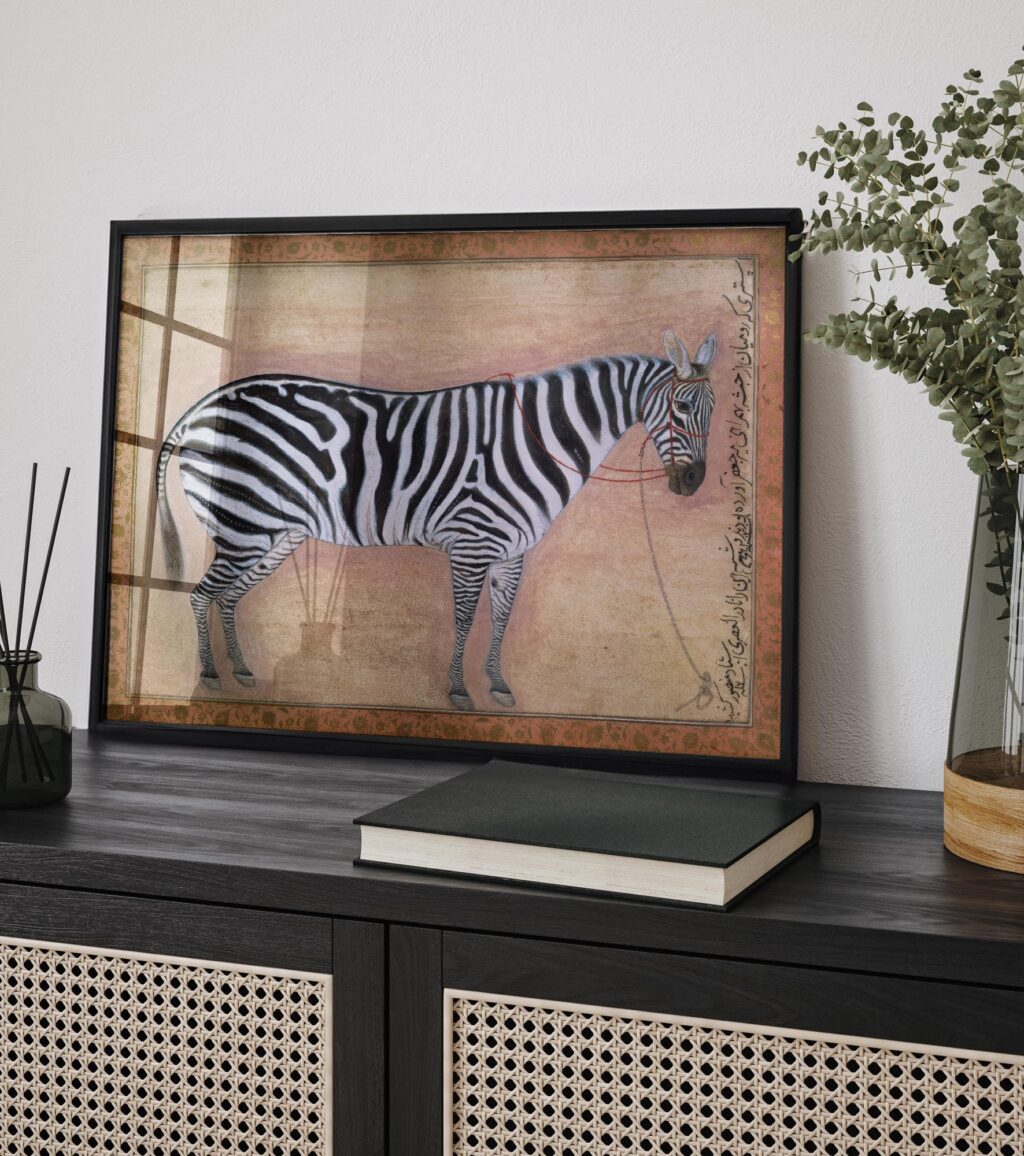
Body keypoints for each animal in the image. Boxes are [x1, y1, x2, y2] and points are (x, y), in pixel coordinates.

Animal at [155, 329, 717, 710]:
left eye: (714, 411)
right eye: (682, 409)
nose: (694, 483)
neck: (539, 439)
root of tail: (201, 408)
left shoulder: (513, 551)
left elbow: (502, 617)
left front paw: (498, 685)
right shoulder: (472, 542)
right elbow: (466, 617)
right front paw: (458, 690)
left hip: (272, 534)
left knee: (229, 596)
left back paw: (242, 673)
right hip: (244, 526)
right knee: (202, 594)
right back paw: (210, 677)